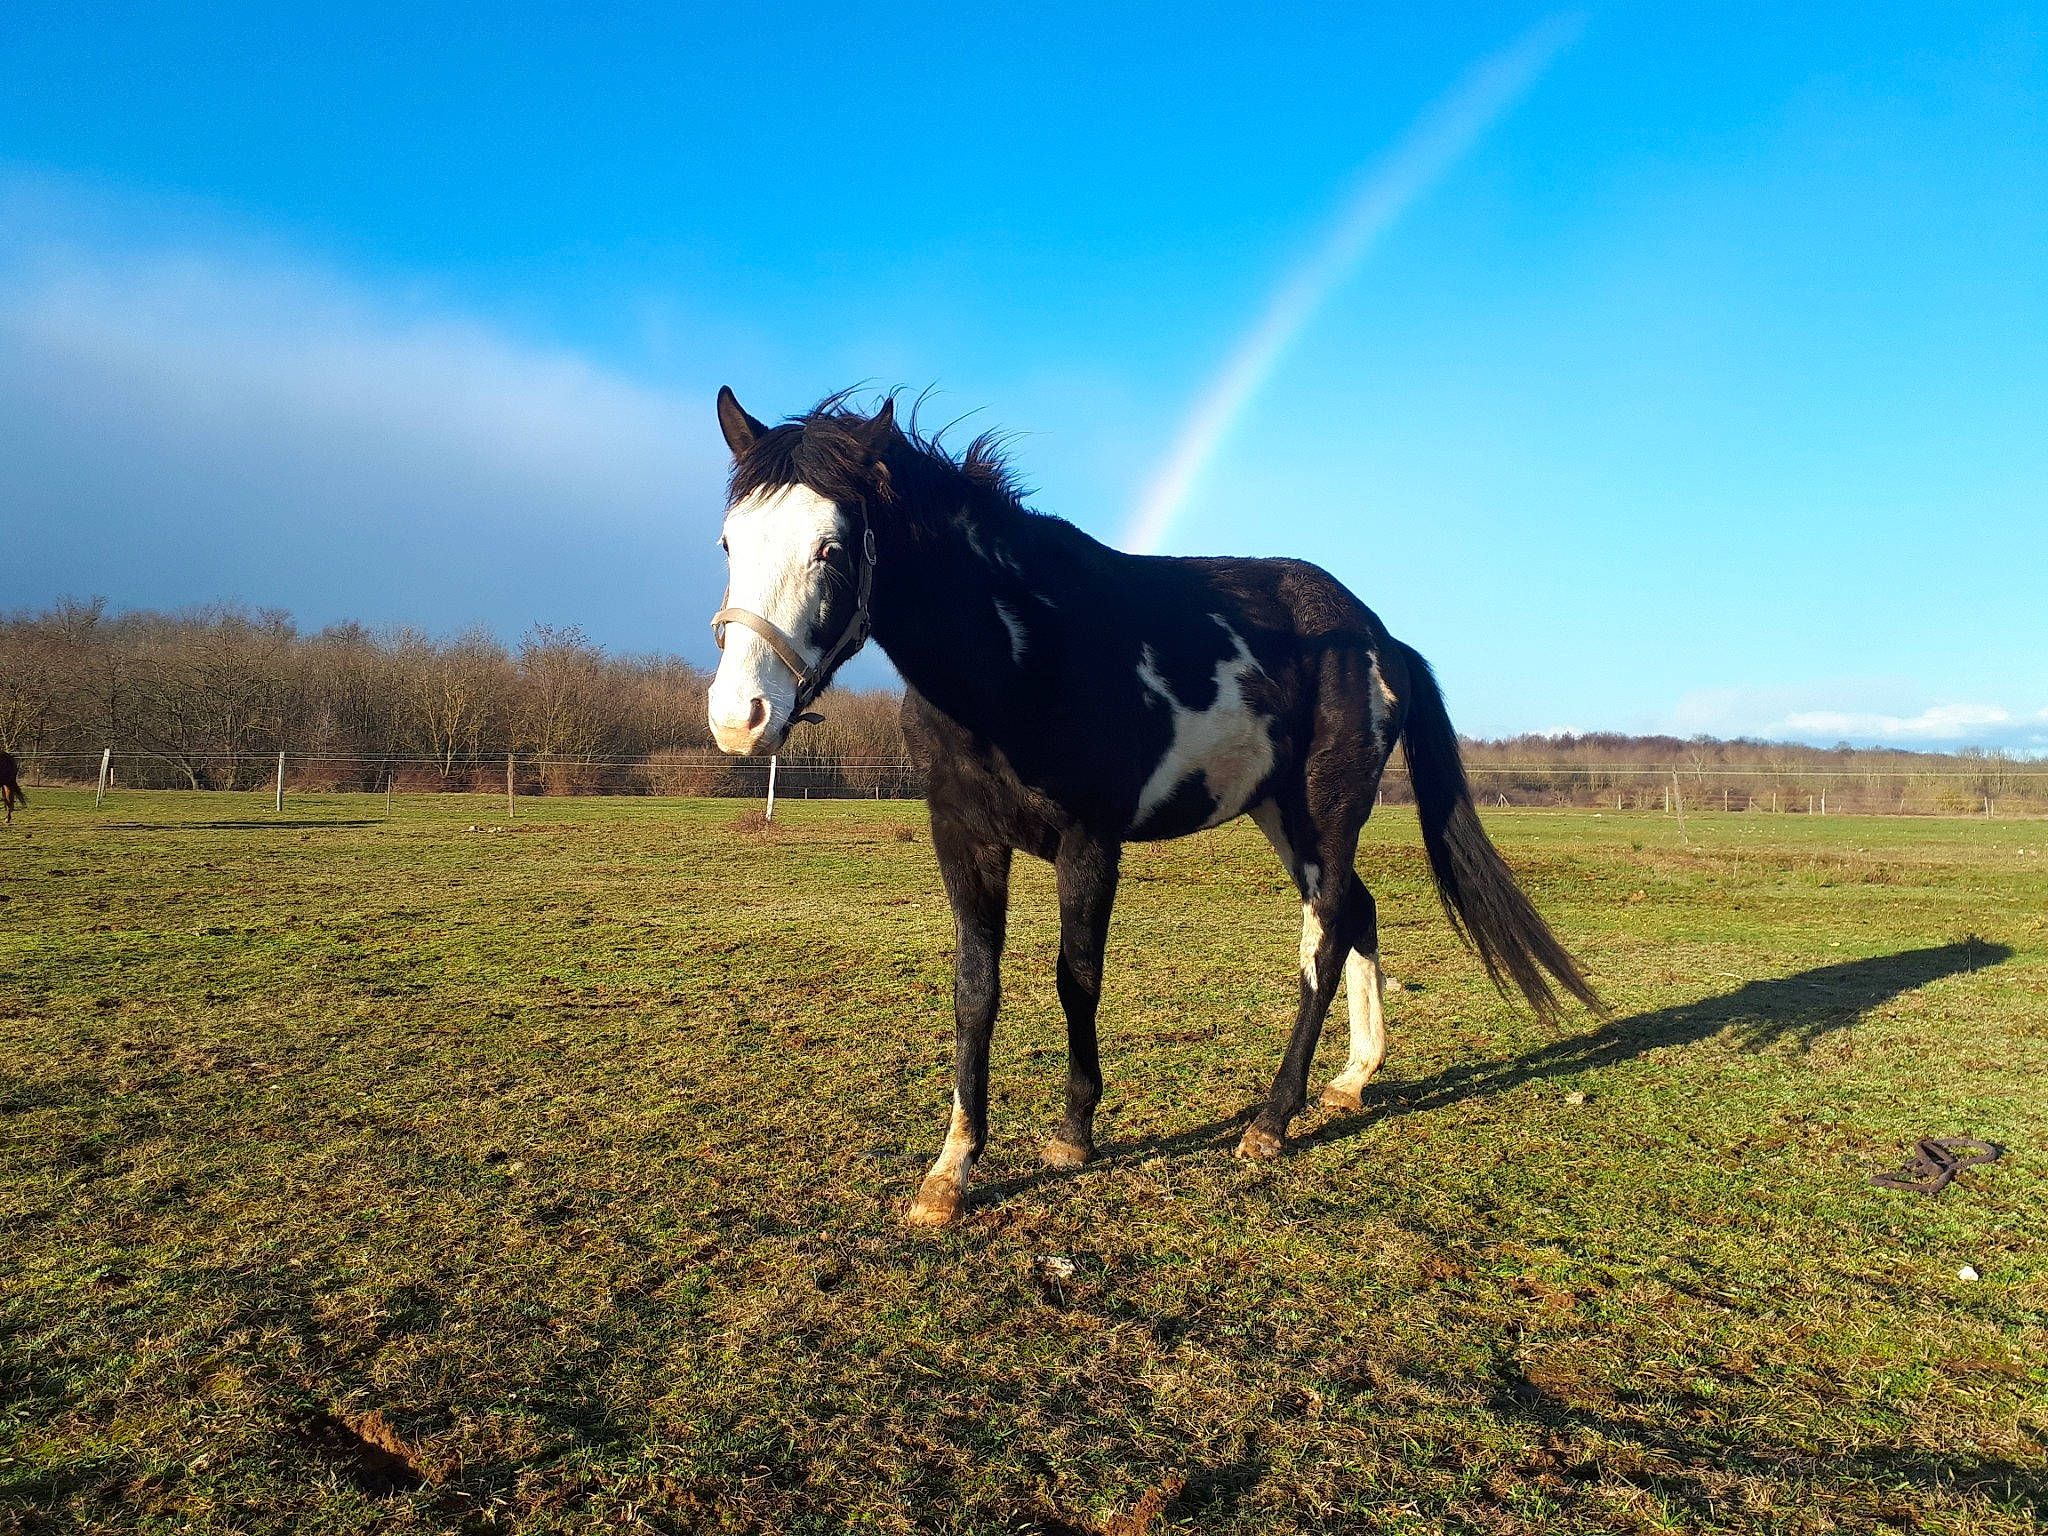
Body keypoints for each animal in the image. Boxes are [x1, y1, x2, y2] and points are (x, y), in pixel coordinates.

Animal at [706, 389, 1600, 1225]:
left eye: (830, 547)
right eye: (728, 543)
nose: (738, 716)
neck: (1018, 657)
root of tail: (1382, 639)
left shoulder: (1089, 844)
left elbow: (1076, 979)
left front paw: (1073, 1134)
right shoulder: (964, 840)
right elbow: (974, 993)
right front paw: (950, 1173)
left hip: (1326, 814)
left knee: (1324, 940)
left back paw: (1272, 1121)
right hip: (1282, 816)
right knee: (1358, 915)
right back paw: (1353, 1078)